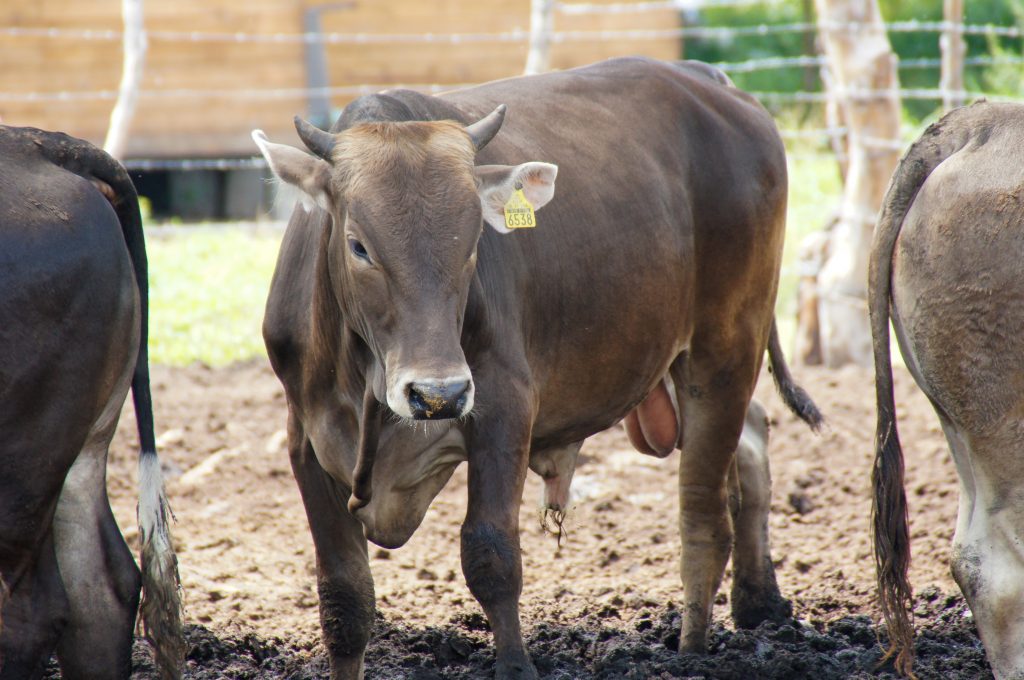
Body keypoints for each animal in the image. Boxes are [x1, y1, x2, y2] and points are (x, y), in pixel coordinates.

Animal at [258, 59, 823, 680]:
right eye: (359, 246)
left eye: (472, 244)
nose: (437, 394)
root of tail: (709, 80)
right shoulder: (305, 437)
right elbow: (344, 596)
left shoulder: (503, 406)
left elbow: (490, 555)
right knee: (752, 437)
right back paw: (759, 602)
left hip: (724, 348)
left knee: (703, 515)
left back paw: (693, 649)